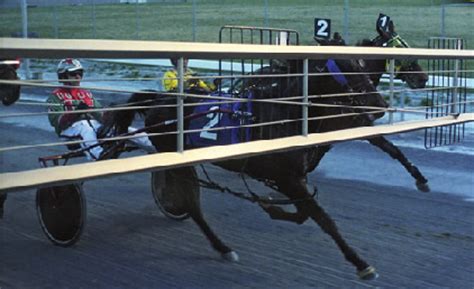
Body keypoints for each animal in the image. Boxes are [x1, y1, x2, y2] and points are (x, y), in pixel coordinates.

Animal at [113, 56, 390, 280]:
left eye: (363, 66)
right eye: (349, 69)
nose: (381, 103)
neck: (285, 114)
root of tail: (160, 99)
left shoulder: (292, 177)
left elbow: (304, 213)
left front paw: (270, 205)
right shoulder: (286, 178)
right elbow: (323, 218)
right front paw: (361, 264)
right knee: (193, 206)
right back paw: (223, 248)